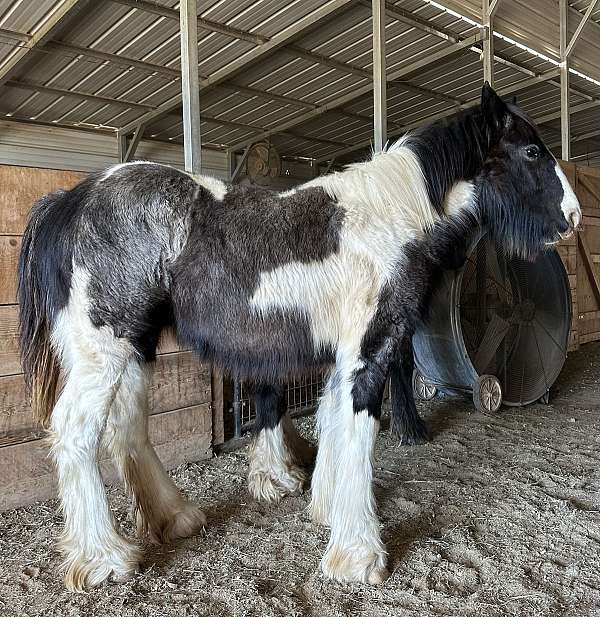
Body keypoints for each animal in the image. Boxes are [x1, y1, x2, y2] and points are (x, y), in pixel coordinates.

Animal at [19, 84, 580, 588]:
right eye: (532, 151)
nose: (573, 216)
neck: (391, 216)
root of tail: (72, 200)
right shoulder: (368, 352)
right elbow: (359, 433)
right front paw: (358, 556)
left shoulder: (341, 355)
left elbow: (333, 424)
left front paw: (327, 511)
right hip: (105, 349)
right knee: (75, 432)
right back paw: (102, 560)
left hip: (134, 347)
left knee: (127, 429)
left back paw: (174, 519)